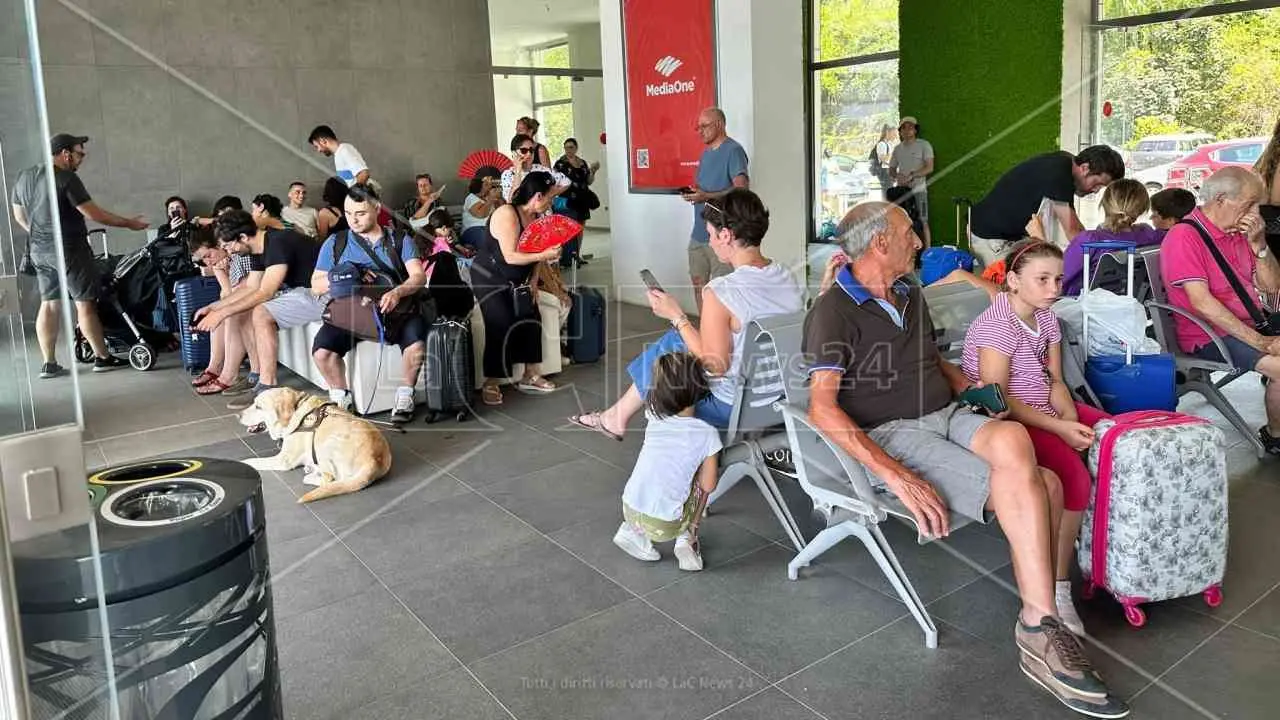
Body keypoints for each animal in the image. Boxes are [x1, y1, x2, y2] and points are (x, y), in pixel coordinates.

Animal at [239, 386, 389, 499]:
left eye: (258, 407)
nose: (238, 415)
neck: (296, 410)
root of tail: (375, 460)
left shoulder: (283, 460)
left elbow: (254, 461)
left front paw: (243, 463)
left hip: (325, 445)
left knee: (328, 479)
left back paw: (311, 474)